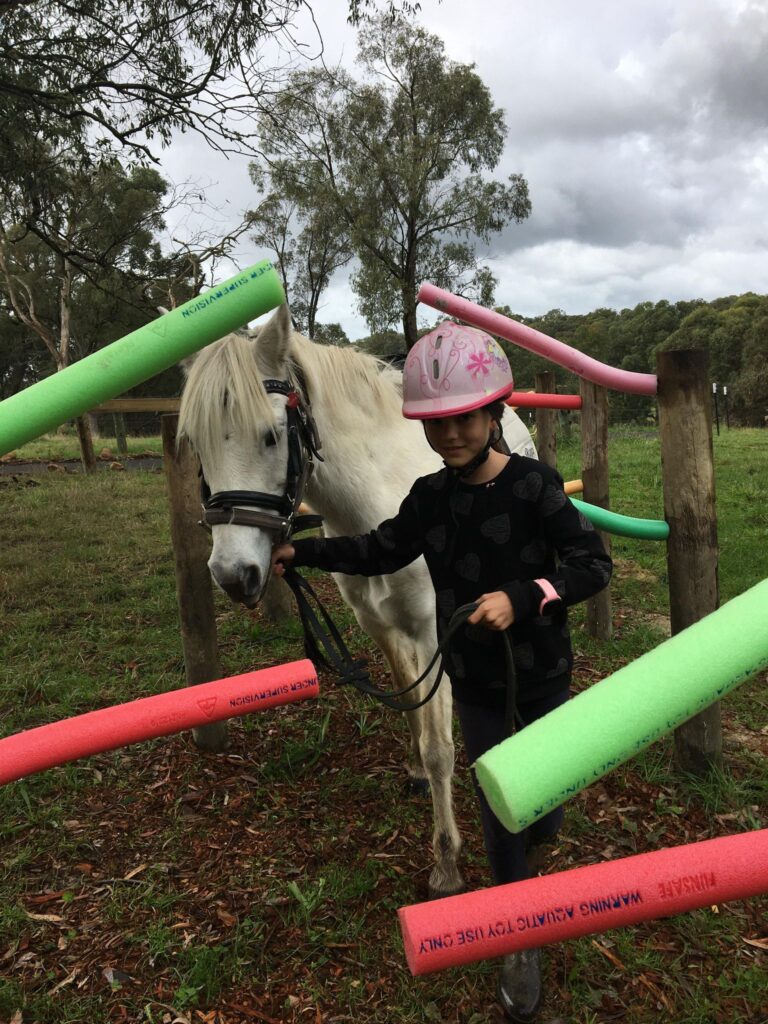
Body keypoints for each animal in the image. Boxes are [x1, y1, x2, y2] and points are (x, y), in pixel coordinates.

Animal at [180, 305, 536, 897]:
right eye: (196, 443)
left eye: (272, 436)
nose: (233, 575)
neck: (376, 500)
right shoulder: (378, 624)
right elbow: (408, 698)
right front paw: (415, 770)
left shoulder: (435, 631)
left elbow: (440, 747)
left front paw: (446, 861)